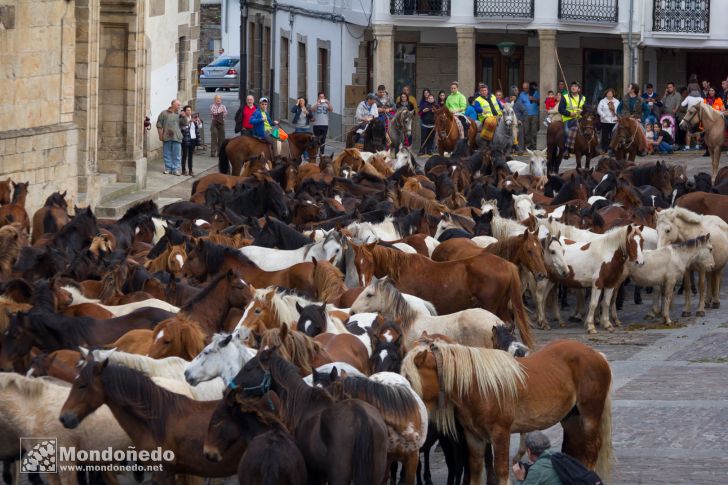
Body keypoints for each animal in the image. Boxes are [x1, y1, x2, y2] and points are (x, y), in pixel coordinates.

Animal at [400, 336, 612, 484]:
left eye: (409, 378)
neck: (478, 386)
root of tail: (596, 354)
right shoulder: (474, 437)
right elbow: (475, 471)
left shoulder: (500, 433)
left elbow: (501, 470)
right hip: (571, 418)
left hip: (590, 415)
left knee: (592, 448)